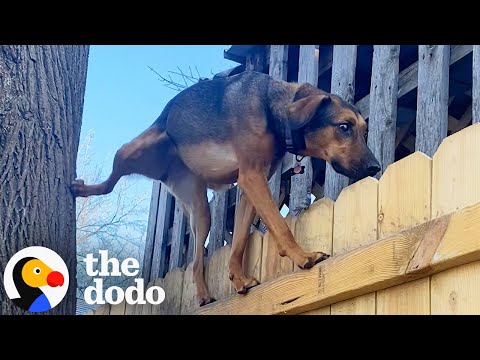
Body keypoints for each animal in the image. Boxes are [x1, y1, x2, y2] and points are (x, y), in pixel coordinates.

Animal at [71, 70, 380, 306]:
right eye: (344, 127)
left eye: (365, 130)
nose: (375, 168)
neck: (274, 108)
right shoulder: (252, 178)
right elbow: (280, 224)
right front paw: (303, 256)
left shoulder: (250, 186)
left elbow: (240, 241)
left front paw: (239, 279)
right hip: (129, 151)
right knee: (110, 181)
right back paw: (83, 189)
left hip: (200, 209)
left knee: (196, 262)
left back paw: (204, 296)